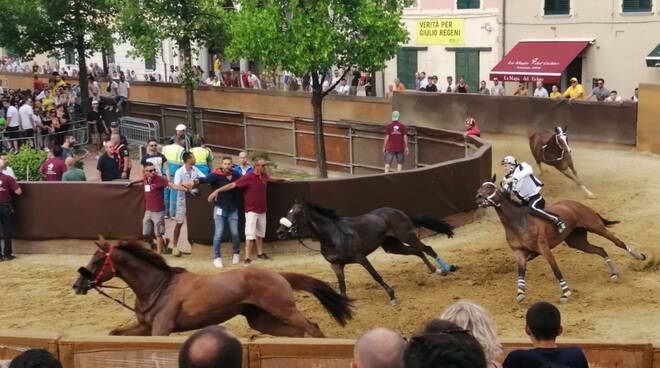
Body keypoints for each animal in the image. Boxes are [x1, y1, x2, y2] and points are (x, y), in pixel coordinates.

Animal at [72, 239, 354, 336]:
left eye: (96, 261)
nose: (77, 285)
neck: (156, 287)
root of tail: (278, 275)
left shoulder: (161, 329)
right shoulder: (144, 327)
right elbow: (114, 335)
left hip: (283, 310)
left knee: (312, 328)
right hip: (260, 319)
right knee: (300, 333)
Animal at [276, 200, 456, 306]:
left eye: (296, 213)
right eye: (288, 212)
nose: (279, 232)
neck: (334, 235)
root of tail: (401, 213)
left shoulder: (360, 258)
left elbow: (376, 276)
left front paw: (392, 297)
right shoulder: (336, 264)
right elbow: (342, 286)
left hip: (407, 236)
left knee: (427, 249)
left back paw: (446, 269)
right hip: (393, 246)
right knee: (419, 252)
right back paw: (434, 270)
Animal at [476, 177, 648, 304]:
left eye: (490, 187)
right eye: (479, 187)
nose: (477, 197)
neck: (518, 221)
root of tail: (577, 204)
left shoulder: (544, 249)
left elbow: (556, 269)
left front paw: (566, 293)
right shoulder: (519, 252)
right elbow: (521, 271)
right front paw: (520, 292)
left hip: (596, 227)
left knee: (617, 242)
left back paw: (639, 256)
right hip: (577, 242)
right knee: (601, 250)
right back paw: (614, 273)